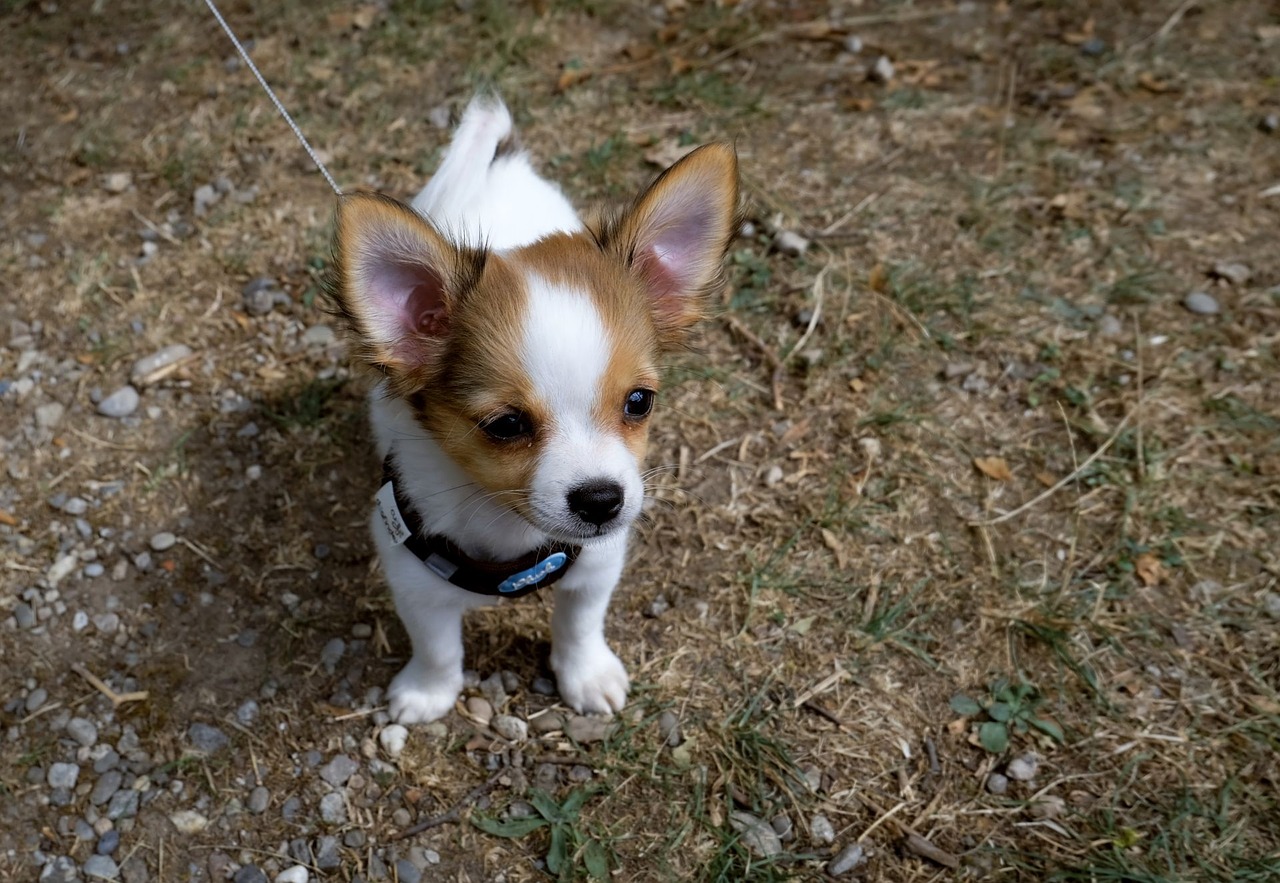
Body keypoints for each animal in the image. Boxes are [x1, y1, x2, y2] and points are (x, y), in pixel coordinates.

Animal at [330, 99, 742, 721]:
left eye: (639, 402)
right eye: (506, 425)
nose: (601, 500)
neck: (510, 530)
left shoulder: (597, 564)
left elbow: (579, 624)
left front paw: (585, 675)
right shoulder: (412, 576)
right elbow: (437, 647)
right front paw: (429, 692)